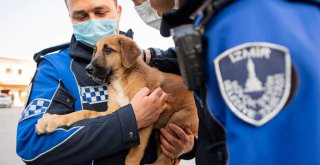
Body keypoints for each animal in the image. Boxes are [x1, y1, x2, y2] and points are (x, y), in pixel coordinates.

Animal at [36, 34, 199, 164]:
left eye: (108, 50)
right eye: (94, 51)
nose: (88, 69)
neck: (121, 80)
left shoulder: (147, 122)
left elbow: (135, 153)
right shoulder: (115, 111)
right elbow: (84, 113)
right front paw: (51, 120)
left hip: (176, 120)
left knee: (167, 159)